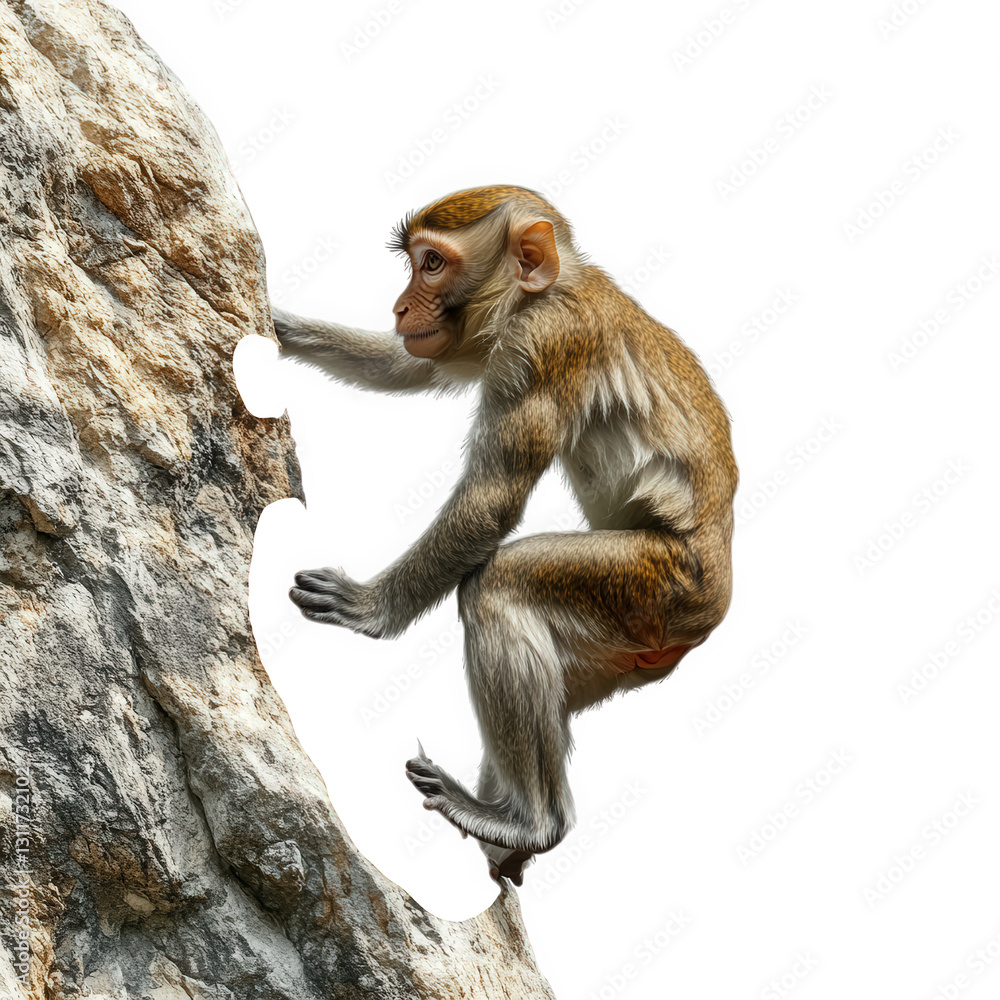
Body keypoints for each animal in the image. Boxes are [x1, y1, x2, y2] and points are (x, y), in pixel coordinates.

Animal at [272, 185, 737, 885]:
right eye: (414, 263)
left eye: (433, 263)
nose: (400, 305)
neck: (544, 292)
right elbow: (406, 366)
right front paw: (278, 326)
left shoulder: (541, 346)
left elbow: (491, 502)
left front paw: (369, 608)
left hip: (656, 587)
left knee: (500, 585)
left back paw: (528, 821)